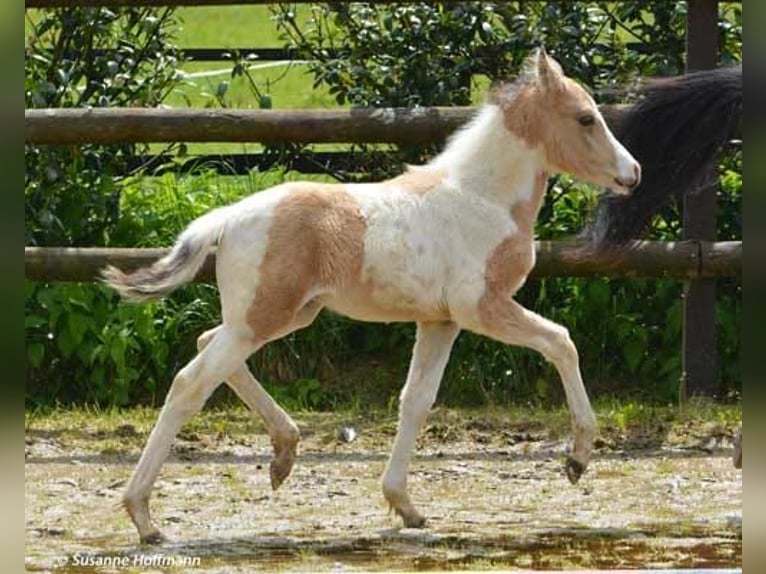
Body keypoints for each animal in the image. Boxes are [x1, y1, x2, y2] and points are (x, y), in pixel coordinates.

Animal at [103, 47, 640, 544]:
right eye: (585, 117)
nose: (632, 172)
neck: (481, 199)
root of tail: (229, 216)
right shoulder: (481, 308)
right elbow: (561, 342)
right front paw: (577, 459)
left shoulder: (441, 321)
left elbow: (416, 400)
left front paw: (405, 505)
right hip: (259, 319)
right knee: (190, 383)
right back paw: (143, 516)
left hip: (282, 316)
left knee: (206, 345)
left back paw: (283, 453)